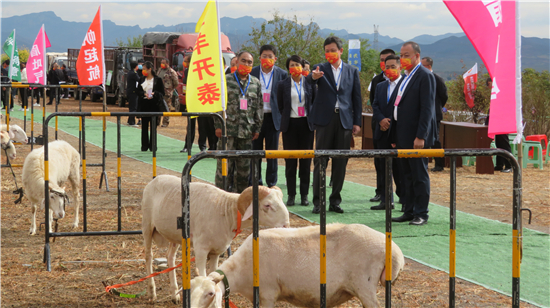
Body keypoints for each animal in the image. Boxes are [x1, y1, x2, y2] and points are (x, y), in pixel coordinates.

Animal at [140, 176, 292, 304]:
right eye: (267, 205)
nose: (286, 225)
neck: (226, 211)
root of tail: (155, 179)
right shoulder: (201, 250)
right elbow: (203, 276)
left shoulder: (216, 252)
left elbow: (214, 276)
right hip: (147, 225)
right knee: (148, 256)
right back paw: (152, 293)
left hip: (175, 235)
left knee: (170, 257)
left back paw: (174, 295)